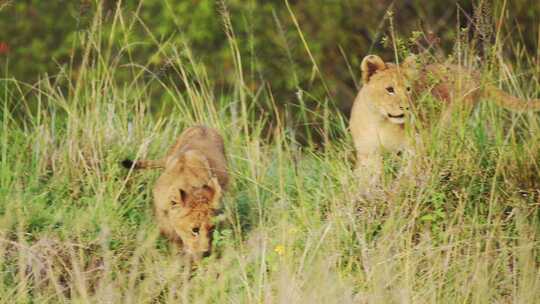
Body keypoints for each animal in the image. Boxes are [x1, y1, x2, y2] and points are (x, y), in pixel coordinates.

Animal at [122, 126, 228, 262]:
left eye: (212, 228)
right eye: (195, 230)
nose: (206, 253)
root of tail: (201, 125)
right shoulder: (161, 211)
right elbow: (171, 235)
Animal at [348, 54, 540, 182]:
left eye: (408, 89)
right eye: (389, 89)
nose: (407, 107)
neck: (379, 121)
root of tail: (473, 72)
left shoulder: (416, 144)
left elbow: (409, 171)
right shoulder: (368, 154)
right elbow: (365, 180)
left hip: (452, 121)